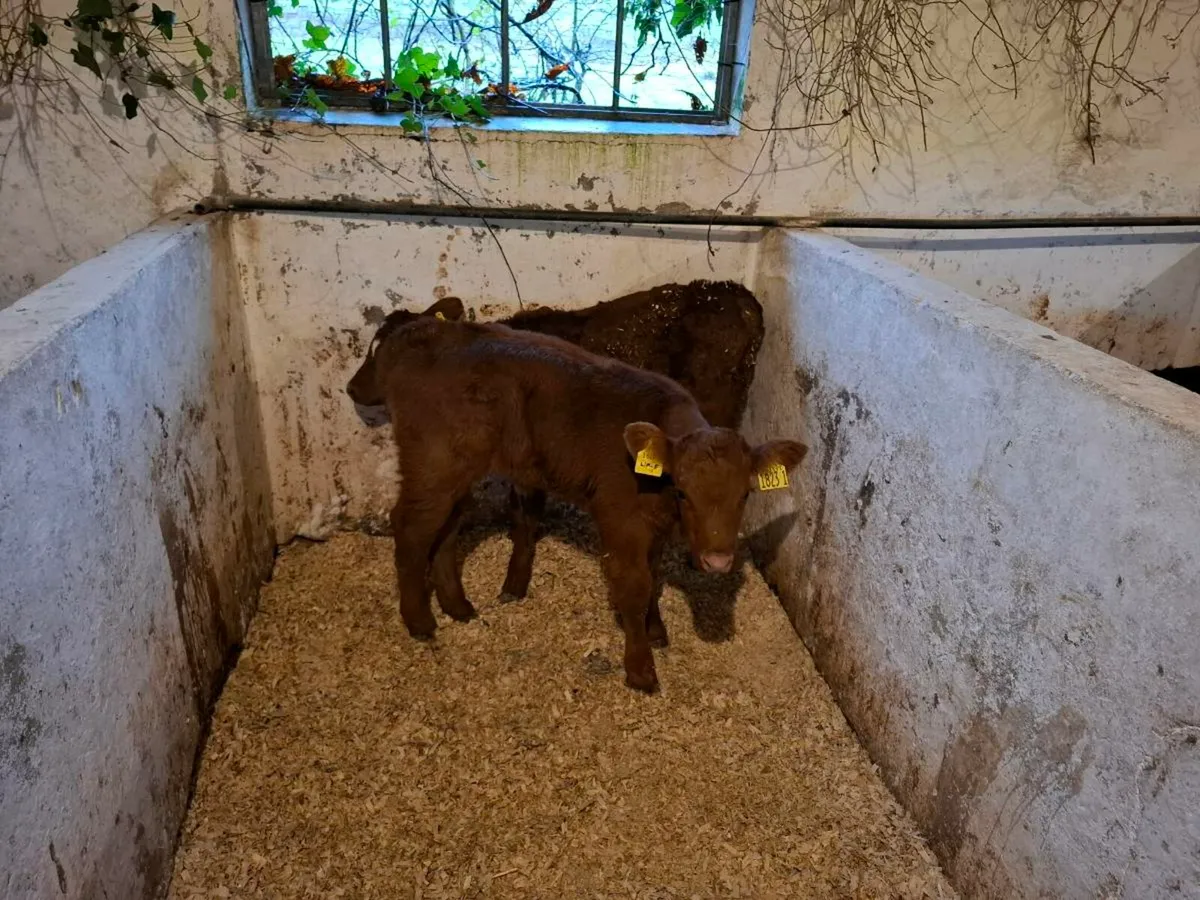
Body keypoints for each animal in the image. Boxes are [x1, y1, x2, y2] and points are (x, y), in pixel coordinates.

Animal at [351, 311, 805, 692]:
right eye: (682, 490)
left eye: (745, 494)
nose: (717, 560)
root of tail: (427, 329)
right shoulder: (620, 520)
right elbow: (635, 586)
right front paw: (640, 669)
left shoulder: (654, 529)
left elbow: (655, 575)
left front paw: (656, 630)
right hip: (432, 462)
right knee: (411, 527)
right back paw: (419, 620)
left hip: (457, 468)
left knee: (447, 526)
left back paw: (457, 605)